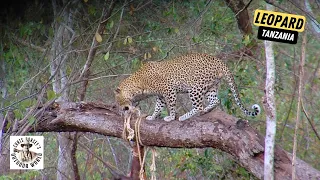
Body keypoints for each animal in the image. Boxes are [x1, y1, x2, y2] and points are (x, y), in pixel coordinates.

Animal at [115, 52, 260, 121]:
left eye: (118, 101)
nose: (122, 109)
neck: (138, 85)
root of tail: (219, 61)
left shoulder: (169, 90)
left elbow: (171, 106)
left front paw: (171, 117)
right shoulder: (161, 96)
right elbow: (158, 107)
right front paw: (152, 116)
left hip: (195, 89)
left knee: (198, 106)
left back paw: (185, 116)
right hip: (211, 87)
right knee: (216, 100)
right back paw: (206, 110)